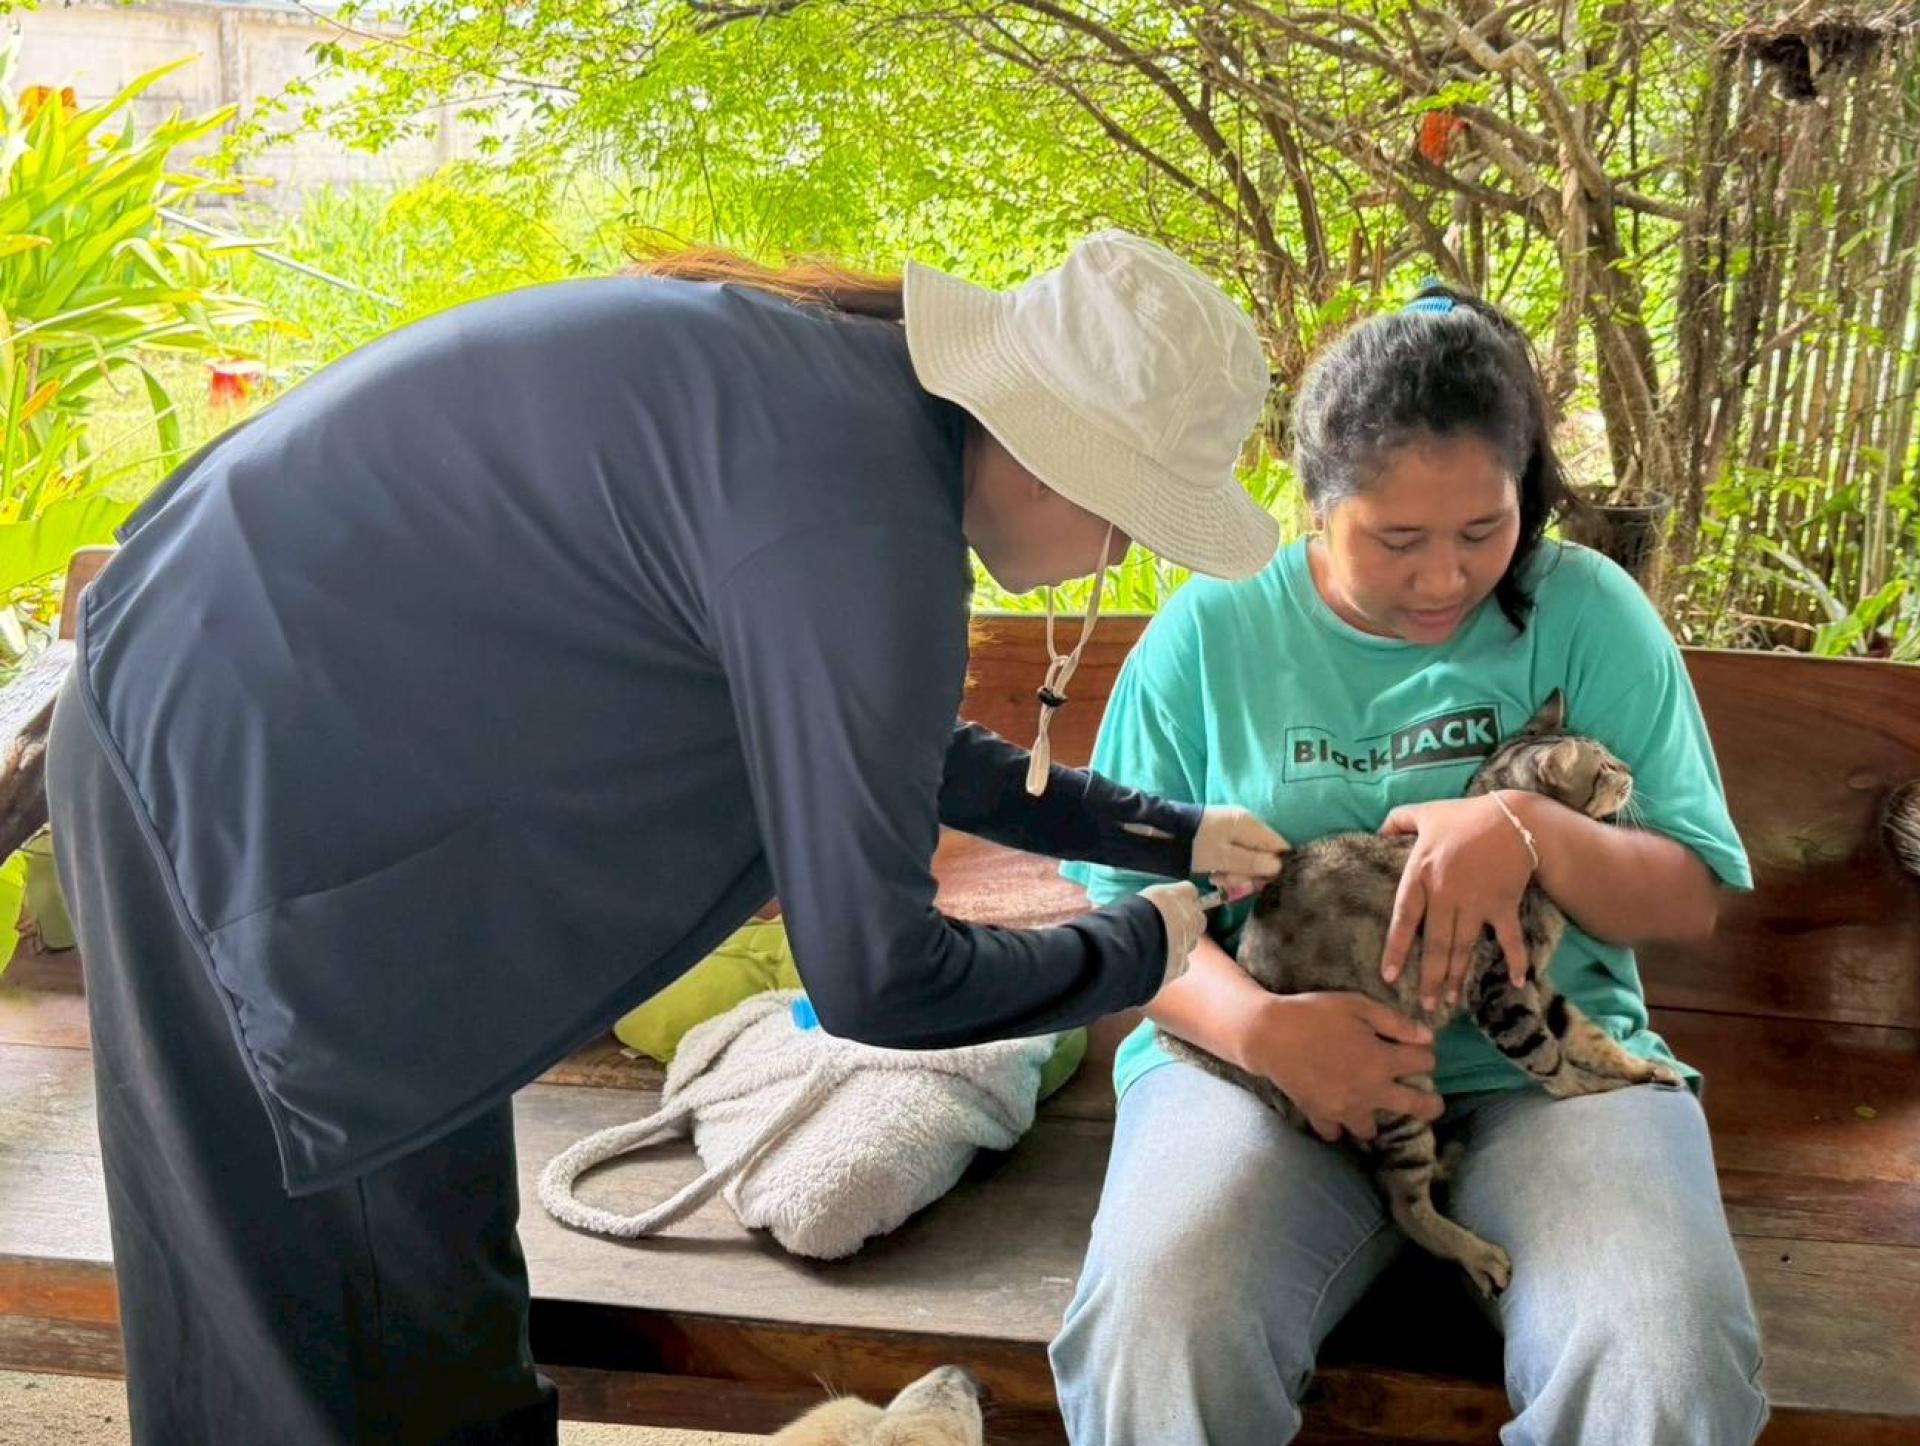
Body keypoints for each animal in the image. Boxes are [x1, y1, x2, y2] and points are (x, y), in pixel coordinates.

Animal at [1162, 691, 1679, 1296]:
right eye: (1604, 767)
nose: (1630, 770)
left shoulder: (1539, 983)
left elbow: (1587, 1035)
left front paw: (1639, 1069)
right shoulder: (1502, 989)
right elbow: (1549, 1057)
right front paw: (1589, 1088)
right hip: (1397, 1089)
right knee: (1403, 1205)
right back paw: (1478, 1253)